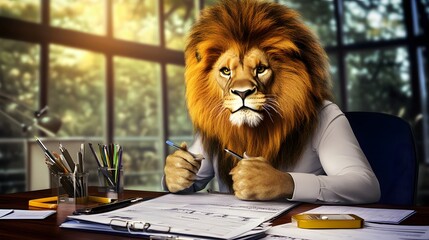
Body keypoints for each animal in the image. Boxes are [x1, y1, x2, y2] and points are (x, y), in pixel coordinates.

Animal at [162, 0, 380, 203]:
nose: (242, 92)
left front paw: (258, 178)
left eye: (260, 69)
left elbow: (359, 176)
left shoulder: (332, 118)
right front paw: (178, 167)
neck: (254, 131)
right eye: (226, 71)